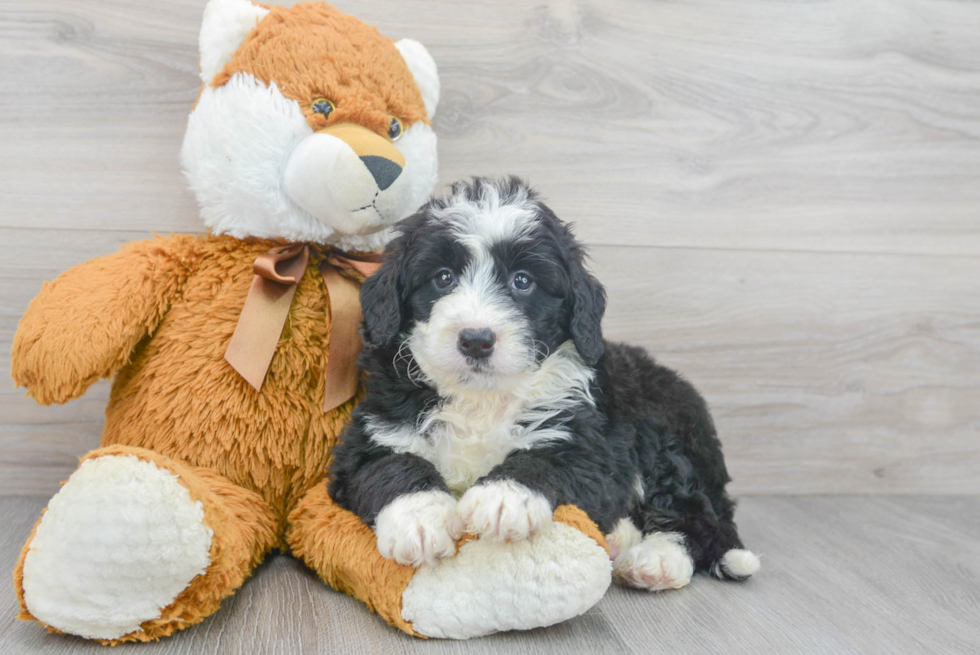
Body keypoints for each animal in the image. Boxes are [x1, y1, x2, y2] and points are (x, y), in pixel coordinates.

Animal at [330, 177, 756, 592]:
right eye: (443, 278)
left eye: (522, 281)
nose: (476, 340)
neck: (481, 399)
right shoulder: (371, 436)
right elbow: (392, 464)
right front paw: (420, 519)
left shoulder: (590, 446)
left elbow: (546, 458)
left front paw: (503, 498)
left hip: (669, 438)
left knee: (697, 517)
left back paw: (657, 560)